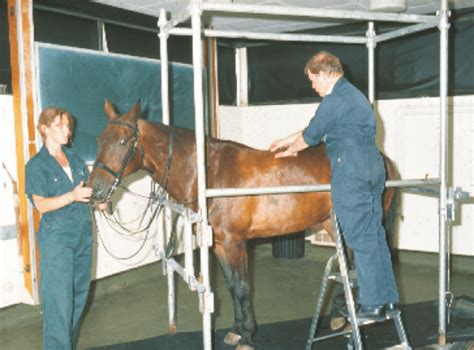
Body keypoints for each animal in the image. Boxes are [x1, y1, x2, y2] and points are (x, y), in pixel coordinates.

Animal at [88, 100, 396, 348]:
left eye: (123, 142)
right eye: (99, 139)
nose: (95, 191)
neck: (209, 175)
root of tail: (384, 160)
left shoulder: (236, 243)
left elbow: (242, 286)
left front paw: (247, 336)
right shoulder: (221, 245)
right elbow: (231, 286)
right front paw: (237, 330)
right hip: (334, 224)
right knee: (352, 264)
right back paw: (340, 314)